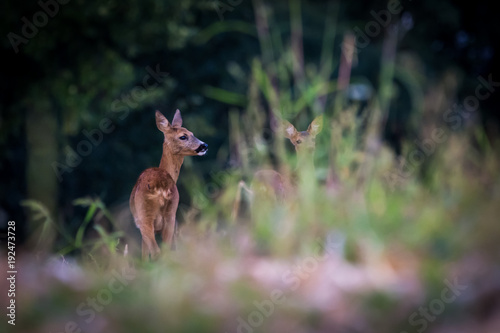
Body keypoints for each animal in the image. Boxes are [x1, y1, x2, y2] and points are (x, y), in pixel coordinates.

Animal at [130, 109, 208, 260]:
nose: (204, 146)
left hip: (150, 217)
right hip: (167, 215)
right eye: (183, 136)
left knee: (157, 251)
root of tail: (159, 186)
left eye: (192, 133)